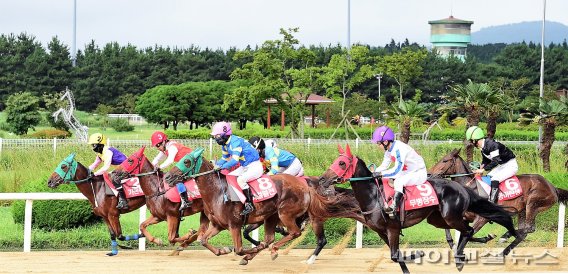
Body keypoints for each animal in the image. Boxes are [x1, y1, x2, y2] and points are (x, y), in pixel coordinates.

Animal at [164, 148, 362, 266]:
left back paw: (276, 250)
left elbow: (239, 248)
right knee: (270, 238)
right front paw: (223, 250)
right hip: (271, 216)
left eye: (187, 162)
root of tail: (305, 185)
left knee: (295, 233)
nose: (167, 177)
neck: (218, 192)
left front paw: (245, 251)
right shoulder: (218, 225)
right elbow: (203, 240)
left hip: (286, 213)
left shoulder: (234, 224)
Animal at [320, 144, 520, 272]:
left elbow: (395, 255)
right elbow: (396, 256)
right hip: (437, 219)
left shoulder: (393, 228)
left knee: (468, 230)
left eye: (341, 163)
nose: (322, 179)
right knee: (466, 231)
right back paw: (483, 240)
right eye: (335, 161)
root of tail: (461, 187)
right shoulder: (381, 231)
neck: (374, 196)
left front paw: (418, 253)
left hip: (450, 216)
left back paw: (460, 259)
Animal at [430, 149, 568, 245]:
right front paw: (452, 243)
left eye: (445, 160)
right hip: (522, 210)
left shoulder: (482, 218)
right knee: (525, 228)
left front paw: (488, 237)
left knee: (529, 228)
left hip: (532, 204)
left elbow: (471, 233)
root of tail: (552, 187)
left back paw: (505, 237)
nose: (430, 174)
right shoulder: (463, 216)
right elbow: (449, 230)